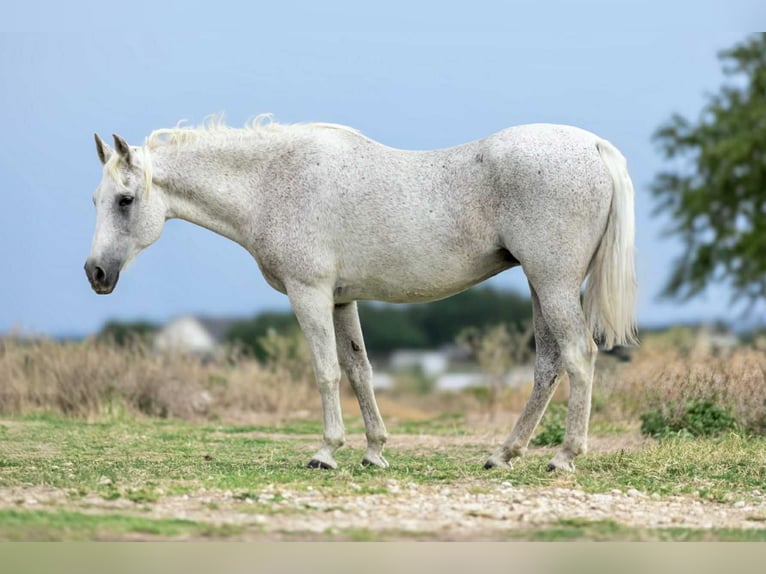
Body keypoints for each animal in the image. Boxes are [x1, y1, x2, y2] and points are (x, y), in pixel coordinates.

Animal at [85, 116, 636, 472]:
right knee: (547, 365)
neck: (272, 182)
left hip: (553, 283)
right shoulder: (340, 300)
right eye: (97, 199)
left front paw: (326, 452)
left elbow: (326, 370)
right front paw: (374, 450)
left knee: (578, 357)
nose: (95, 273)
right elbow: (359, 369)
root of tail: (593, 146)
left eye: (125, 200)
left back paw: (563, 457)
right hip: (541, 286)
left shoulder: (308, 294)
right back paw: (502, 455)